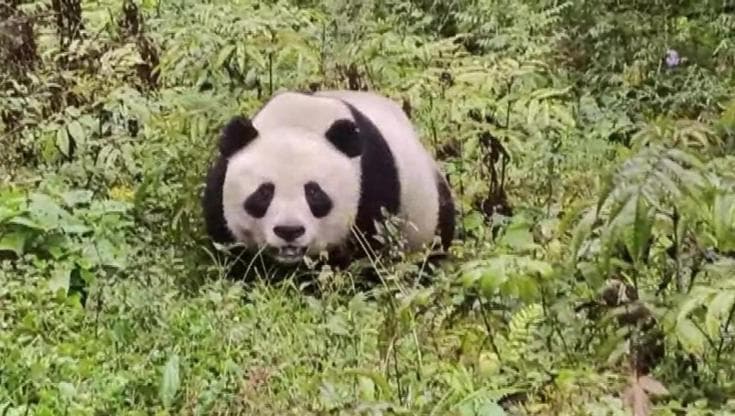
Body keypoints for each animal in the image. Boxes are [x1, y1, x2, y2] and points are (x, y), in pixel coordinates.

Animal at [201, 89, 455, 272]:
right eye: (264, 192)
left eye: (314, 193)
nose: (289, 231)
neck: (300, 120)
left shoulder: (372, 184)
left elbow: (369, 250)